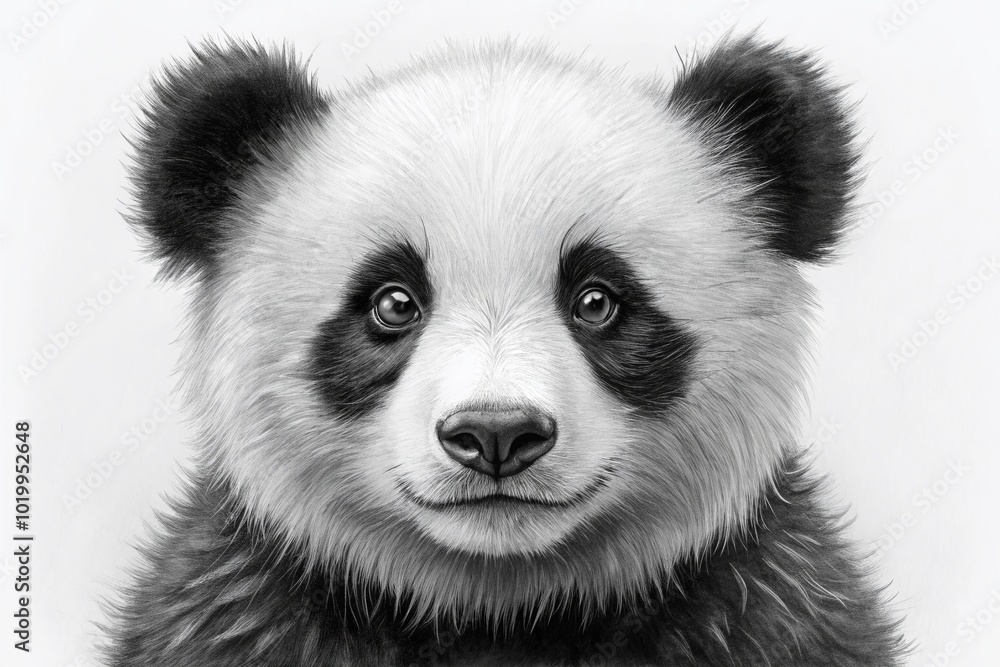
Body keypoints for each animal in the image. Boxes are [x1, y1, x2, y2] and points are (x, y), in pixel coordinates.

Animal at [104, 34, 907, 666]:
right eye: (393, 303)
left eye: (597, 301)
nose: (496, 433)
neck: (500, 605)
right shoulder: (240, 608)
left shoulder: (762, 604)